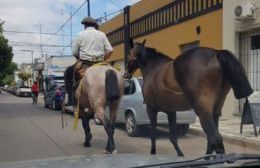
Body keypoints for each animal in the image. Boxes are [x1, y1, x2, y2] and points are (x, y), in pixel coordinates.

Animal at [125, 39, 253, 156]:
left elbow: (153, 135)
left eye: (129, 54)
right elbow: (173, 137)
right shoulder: (171, 111)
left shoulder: (151, 109)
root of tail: (216, 53)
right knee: (212, 140)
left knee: (215, 138)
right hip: (215, 111)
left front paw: (153, 153)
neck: (153, 68)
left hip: (203, 111)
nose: (126, 74)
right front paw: (180, 154)